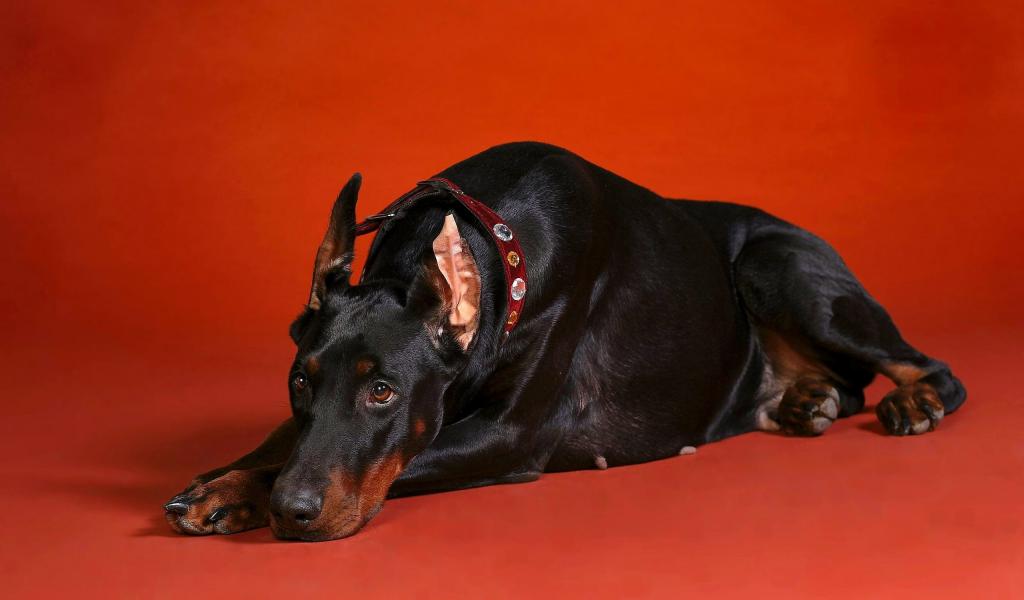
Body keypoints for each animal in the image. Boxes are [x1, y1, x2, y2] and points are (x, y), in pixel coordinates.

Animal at [164, 142, 966, 541]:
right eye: (300, 382)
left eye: (383, 390)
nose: (293, 514)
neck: (494, 239)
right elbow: (278, 443)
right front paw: (222, 483)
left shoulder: (511, 436)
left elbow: (405, 453)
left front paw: (246, 493)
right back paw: (805, 400)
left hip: (780, 267)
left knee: (928, 369)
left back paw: (912, 403)